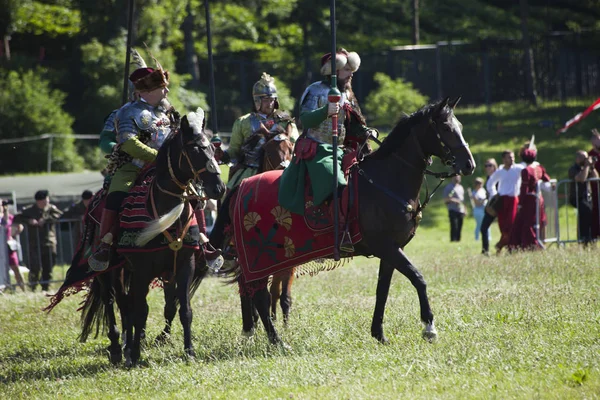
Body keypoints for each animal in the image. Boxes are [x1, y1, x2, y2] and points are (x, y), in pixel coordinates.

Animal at [79, 109, 225, 366]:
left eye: (211, 147)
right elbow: (140, 311)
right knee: (113, 302)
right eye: (195, 149)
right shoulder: (142, 269)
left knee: (126, 303)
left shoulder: (183, 266)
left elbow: (183, 309)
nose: (219, 188)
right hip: (109, 270)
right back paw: (118, 349)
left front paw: (189, 351)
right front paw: (135, 354)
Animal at [211, 97, 474, 344]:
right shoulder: (387, 247)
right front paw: (429, 327)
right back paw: (277, 341)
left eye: (460, 126)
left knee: (255, 291)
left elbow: (382, 290)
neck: (386, 180)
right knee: (258, 294)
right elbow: (419, 279)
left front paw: (379, 333)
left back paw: (256, 333)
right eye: (446, 128)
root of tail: (241, 186)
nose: (468, 164)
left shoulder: (391, 251)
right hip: (261, 256)